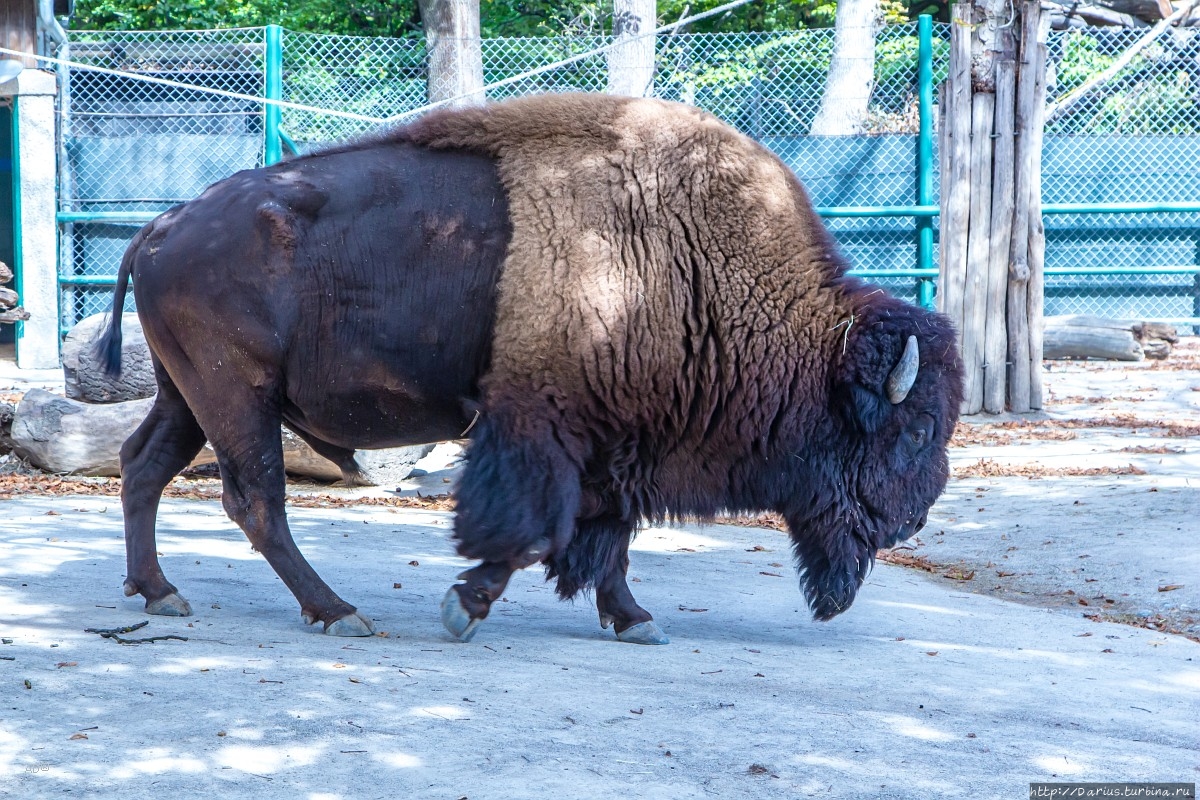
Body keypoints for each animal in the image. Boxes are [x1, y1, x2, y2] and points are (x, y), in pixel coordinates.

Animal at [100, 92, 964, 642]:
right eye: (916, 431)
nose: (915, 520)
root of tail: (164, 224)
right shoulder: (540, 429)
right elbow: (532, 532)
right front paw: (464, 607)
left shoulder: (620, 443)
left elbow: (608, 536)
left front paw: (634, 620)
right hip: (237, 395)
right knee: (257, 500)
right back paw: (338, 611)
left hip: (188, 395)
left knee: (144, 466)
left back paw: (160, 594)